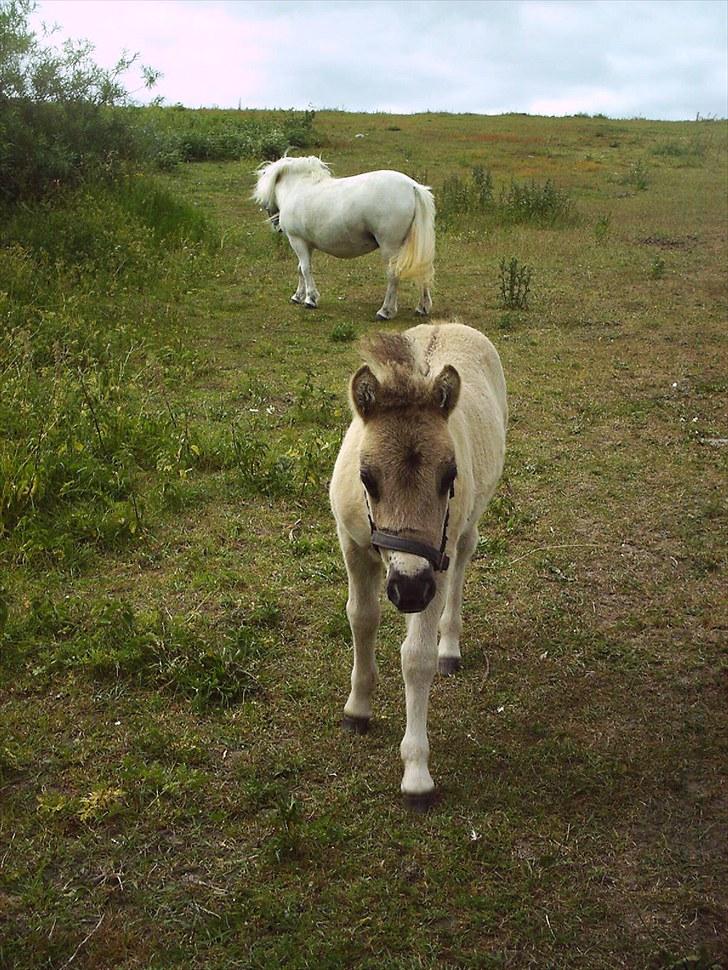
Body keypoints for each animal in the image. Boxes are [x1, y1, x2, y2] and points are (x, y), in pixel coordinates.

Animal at [253, 155, 436, 320]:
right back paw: (422, 307)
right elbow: (300, 269)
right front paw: (298, 296)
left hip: (390, 247)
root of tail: (413, 186)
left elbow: (305, 269)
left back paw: (385, 311)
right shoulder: (306, 244)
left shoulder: (297, 240)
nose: (276, 226)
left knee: (393, 275)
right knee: (421, 268)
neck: (298, 187)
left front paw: (310, 299)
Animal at [330, 322, 506, 804]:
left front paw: (416, 772)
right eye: (366, 477)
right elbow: (361, 618)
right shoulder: (353, 546)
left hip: (462, 533)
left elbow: (416, 657)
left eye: (449, 476)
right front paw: (358, 709)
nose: (408, 589)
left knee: (464, 558)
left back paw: (450, 648)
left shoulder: (433, 564)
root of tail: (453, 323)